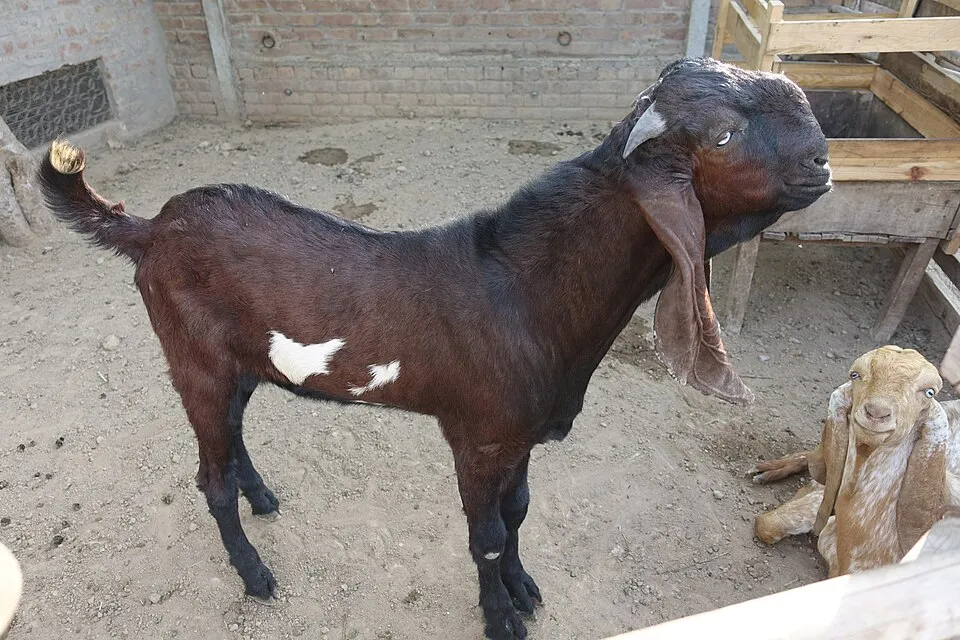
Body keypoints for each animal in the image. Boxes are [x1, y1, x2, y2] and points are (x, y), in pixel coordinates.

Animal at [38, 57, 831, 639]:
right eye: (723, 136)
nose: (823, 160)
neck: (522, 294)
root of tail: (150, 228)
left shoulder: (520, 437)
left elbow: (519, 513)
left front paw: (525, 588)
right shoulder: (477, 436)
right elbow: (486, 533)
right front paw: (501, 619)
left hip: (239, 366)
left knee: (231, 438)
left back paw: (264, 497)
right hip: (193, 360)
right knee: (211, 478)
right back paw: (256, 576)